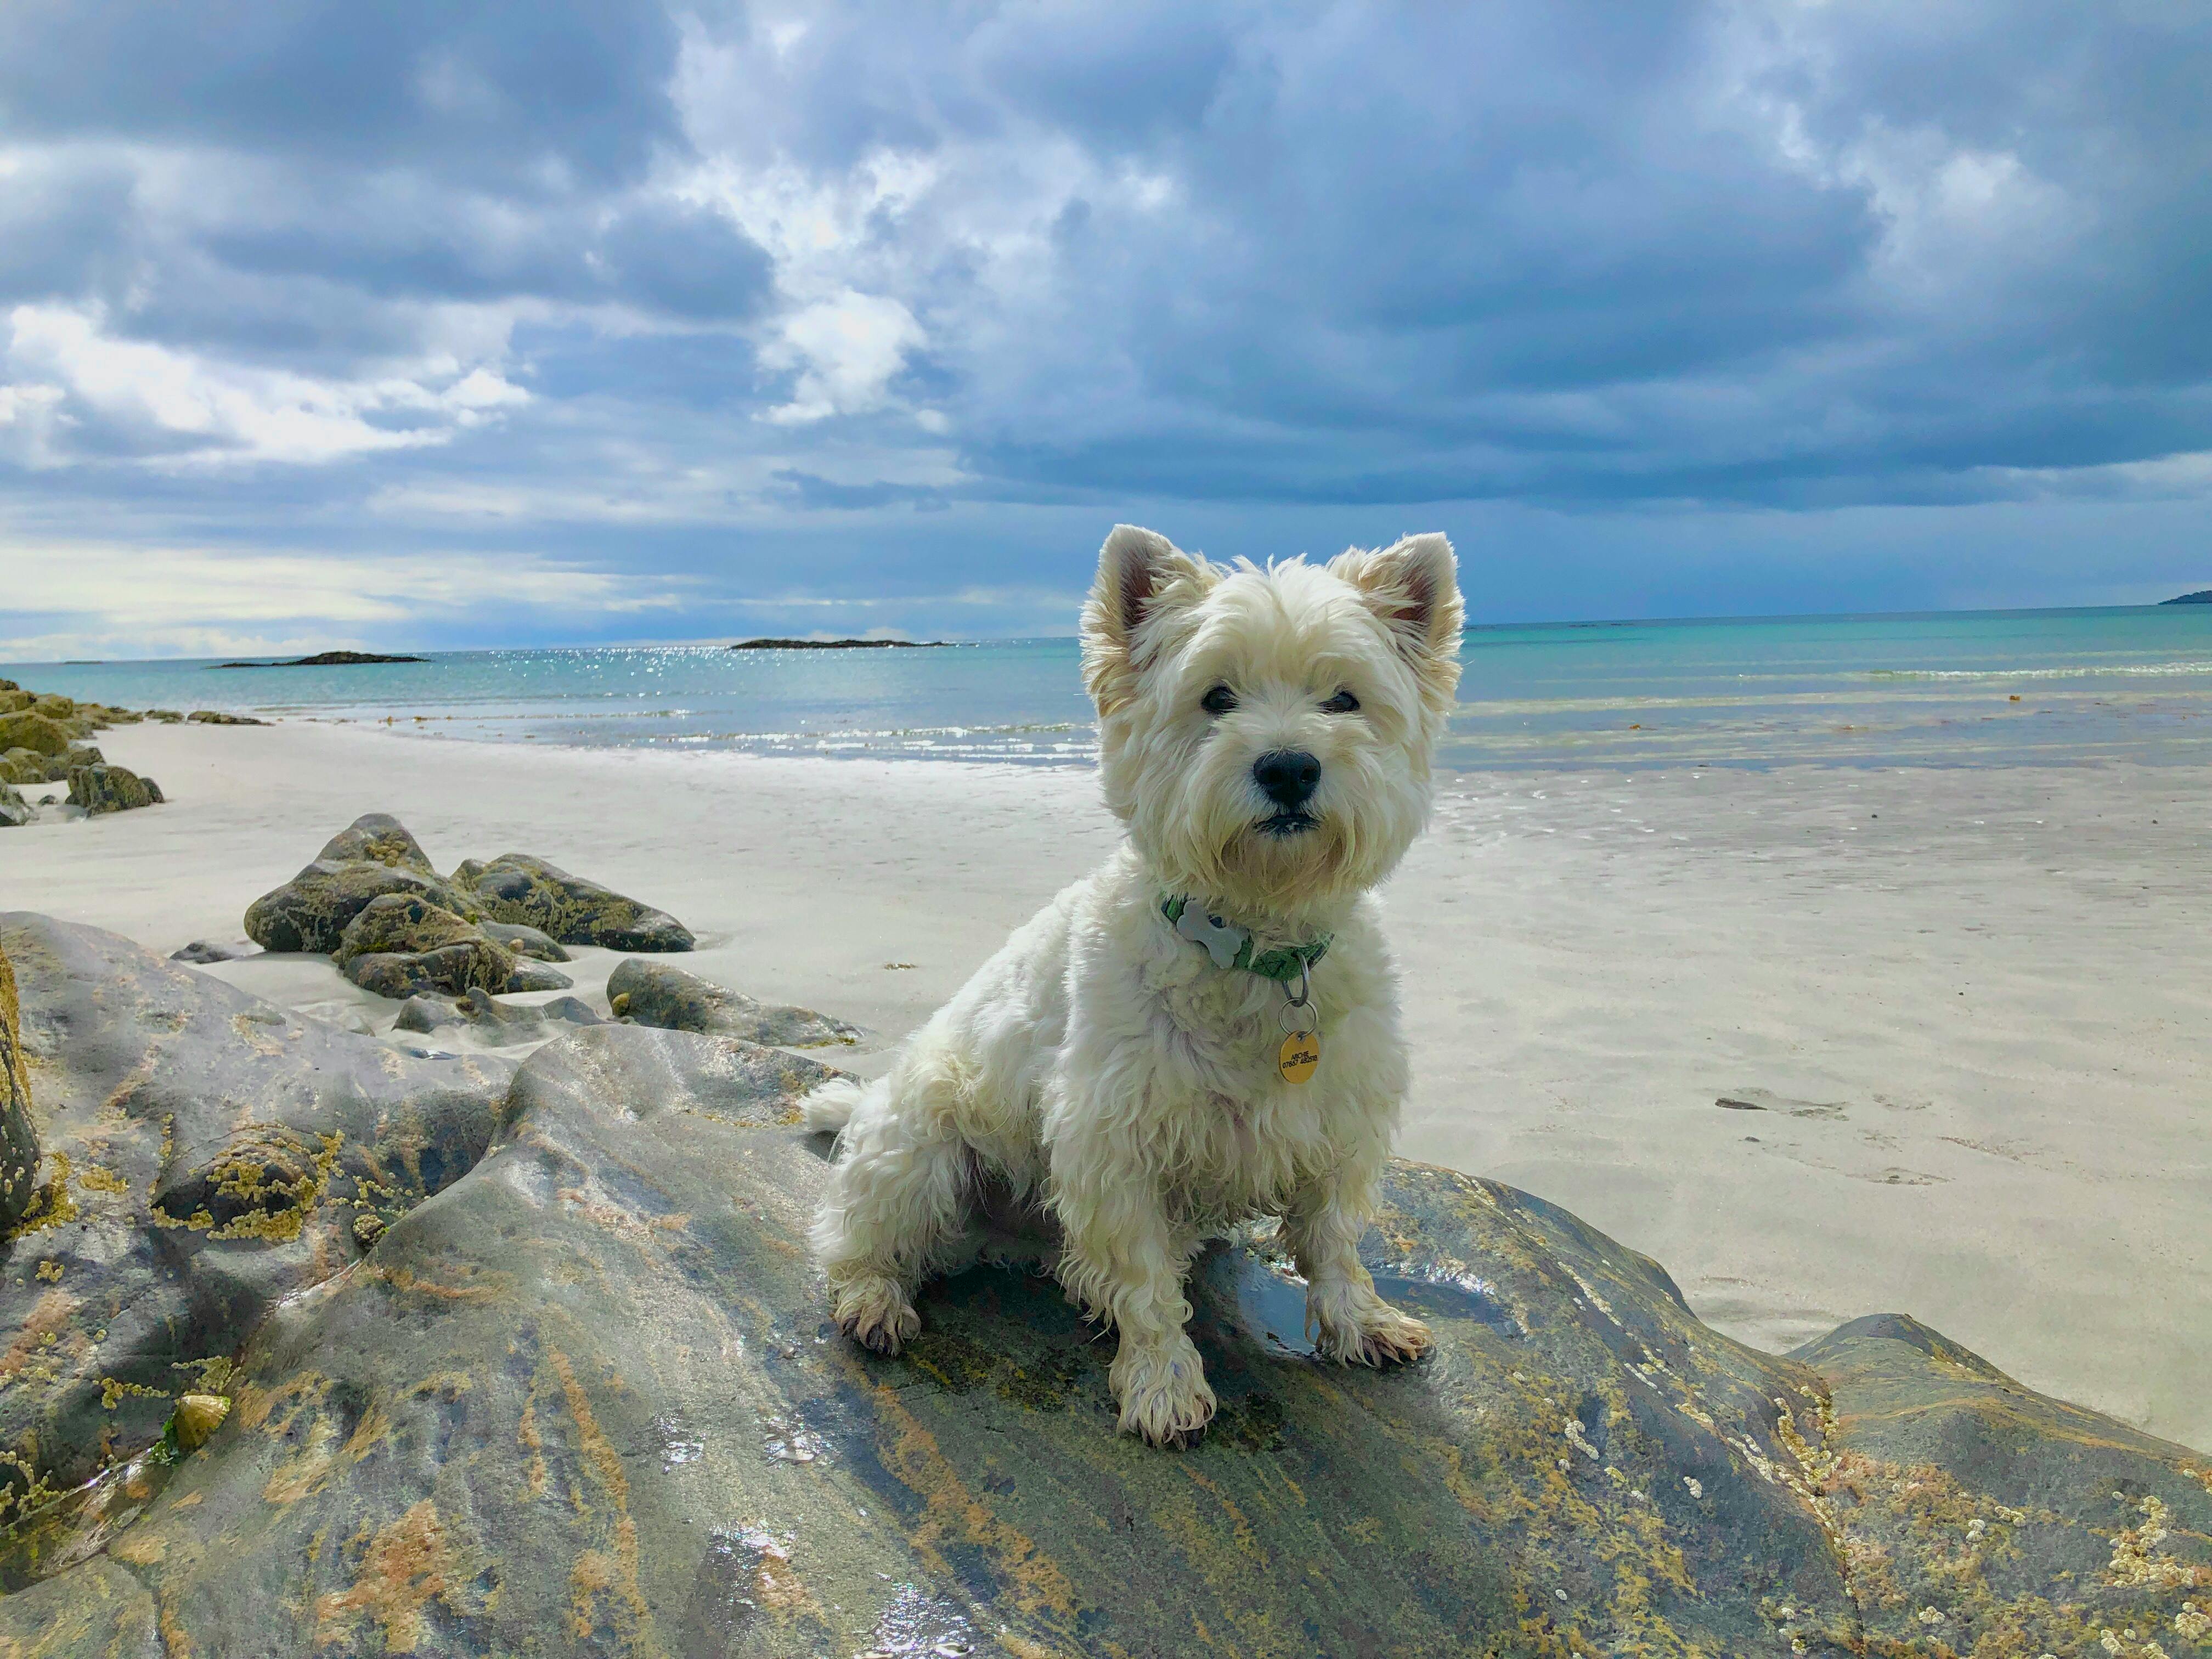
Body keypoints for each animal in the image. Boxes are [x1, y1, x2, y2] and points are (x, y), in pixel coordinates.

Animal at [805, 528, 1460, 1442]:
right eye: (1215, 697)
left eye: (1344, 699)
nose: (1289, 768)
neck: (1254, 943)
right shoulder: (1112, 1139)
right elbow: (1146, 1283)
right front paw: (1163, 1384)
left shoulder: (1338, 1120)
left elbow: (1332, 1240)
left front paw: (1362, 1324)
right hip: (922, 1145)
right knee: (854, 1236)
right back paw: (874, 1301)